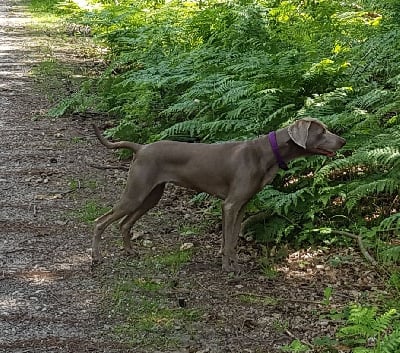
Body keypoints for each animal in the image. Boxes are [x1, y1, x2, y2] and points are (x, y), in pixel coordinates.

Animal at [92, 117, 346, 270]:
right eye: (322, 131)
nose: (343, 141)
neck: (266, 153)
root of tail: (141, 147)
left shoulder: (242, 206)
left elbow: (232, 239)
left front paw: (234, 263)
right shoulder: (230, 204)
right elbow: (227, 238)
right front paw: (227, 267)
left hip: (151, 196)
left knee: (124, 224)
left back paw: (129, 251)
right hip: (136, 193)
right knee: (100, 221)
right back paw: (96, 257)